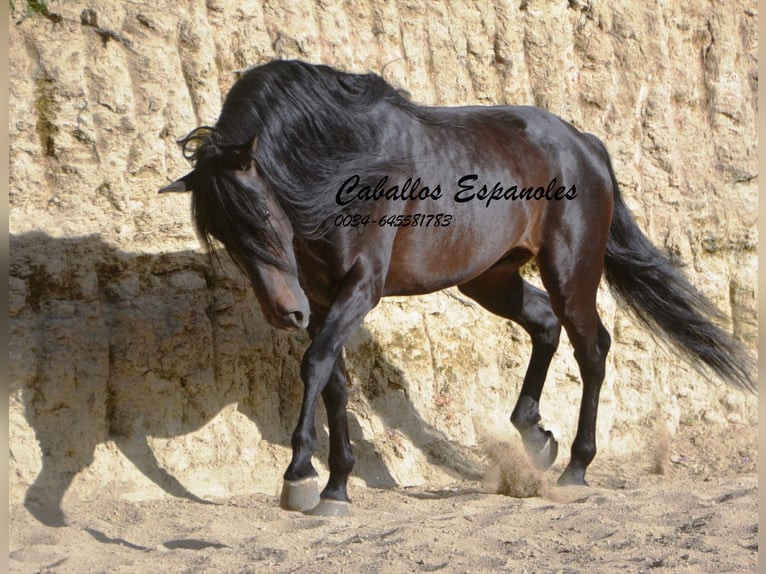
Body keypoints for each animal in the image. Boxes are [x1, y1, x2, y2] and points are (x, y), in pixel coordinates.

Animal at [159, 58, 760, 516]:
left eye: (262, 212)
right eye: (221, 233)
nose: (285, 313)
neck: (345, 160)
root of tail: (585, 144)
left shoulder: (361, 289)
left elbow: (315, 364)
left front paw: (300, 476)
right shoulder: (327, 299)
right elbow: (333, 379)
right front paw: (336, 488)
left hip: (569, 272)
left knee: (591, 347)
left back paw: (576, 466)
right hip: (490, 279)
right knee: (546, 326)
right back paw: (535, 438)